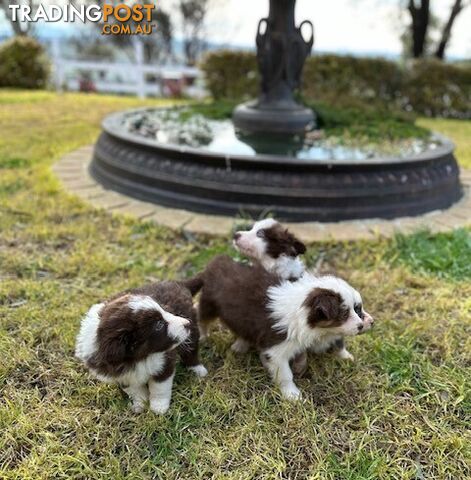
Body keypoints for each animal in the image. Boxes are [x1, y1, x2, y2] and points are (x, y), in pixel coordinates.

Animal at [74, 282, 207, 412]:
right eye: (159, 325)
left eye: (164, 311)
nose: (187, 323)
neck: (140, 357)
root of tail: (177, 283)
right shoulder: (119, 374)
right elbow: (135, 390)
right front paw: (140, 405)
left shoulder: (164, 361)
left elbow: (159, 386)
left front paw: (158, 407)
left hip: (191, 329)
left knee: (191, 349)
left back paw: (198, 369)